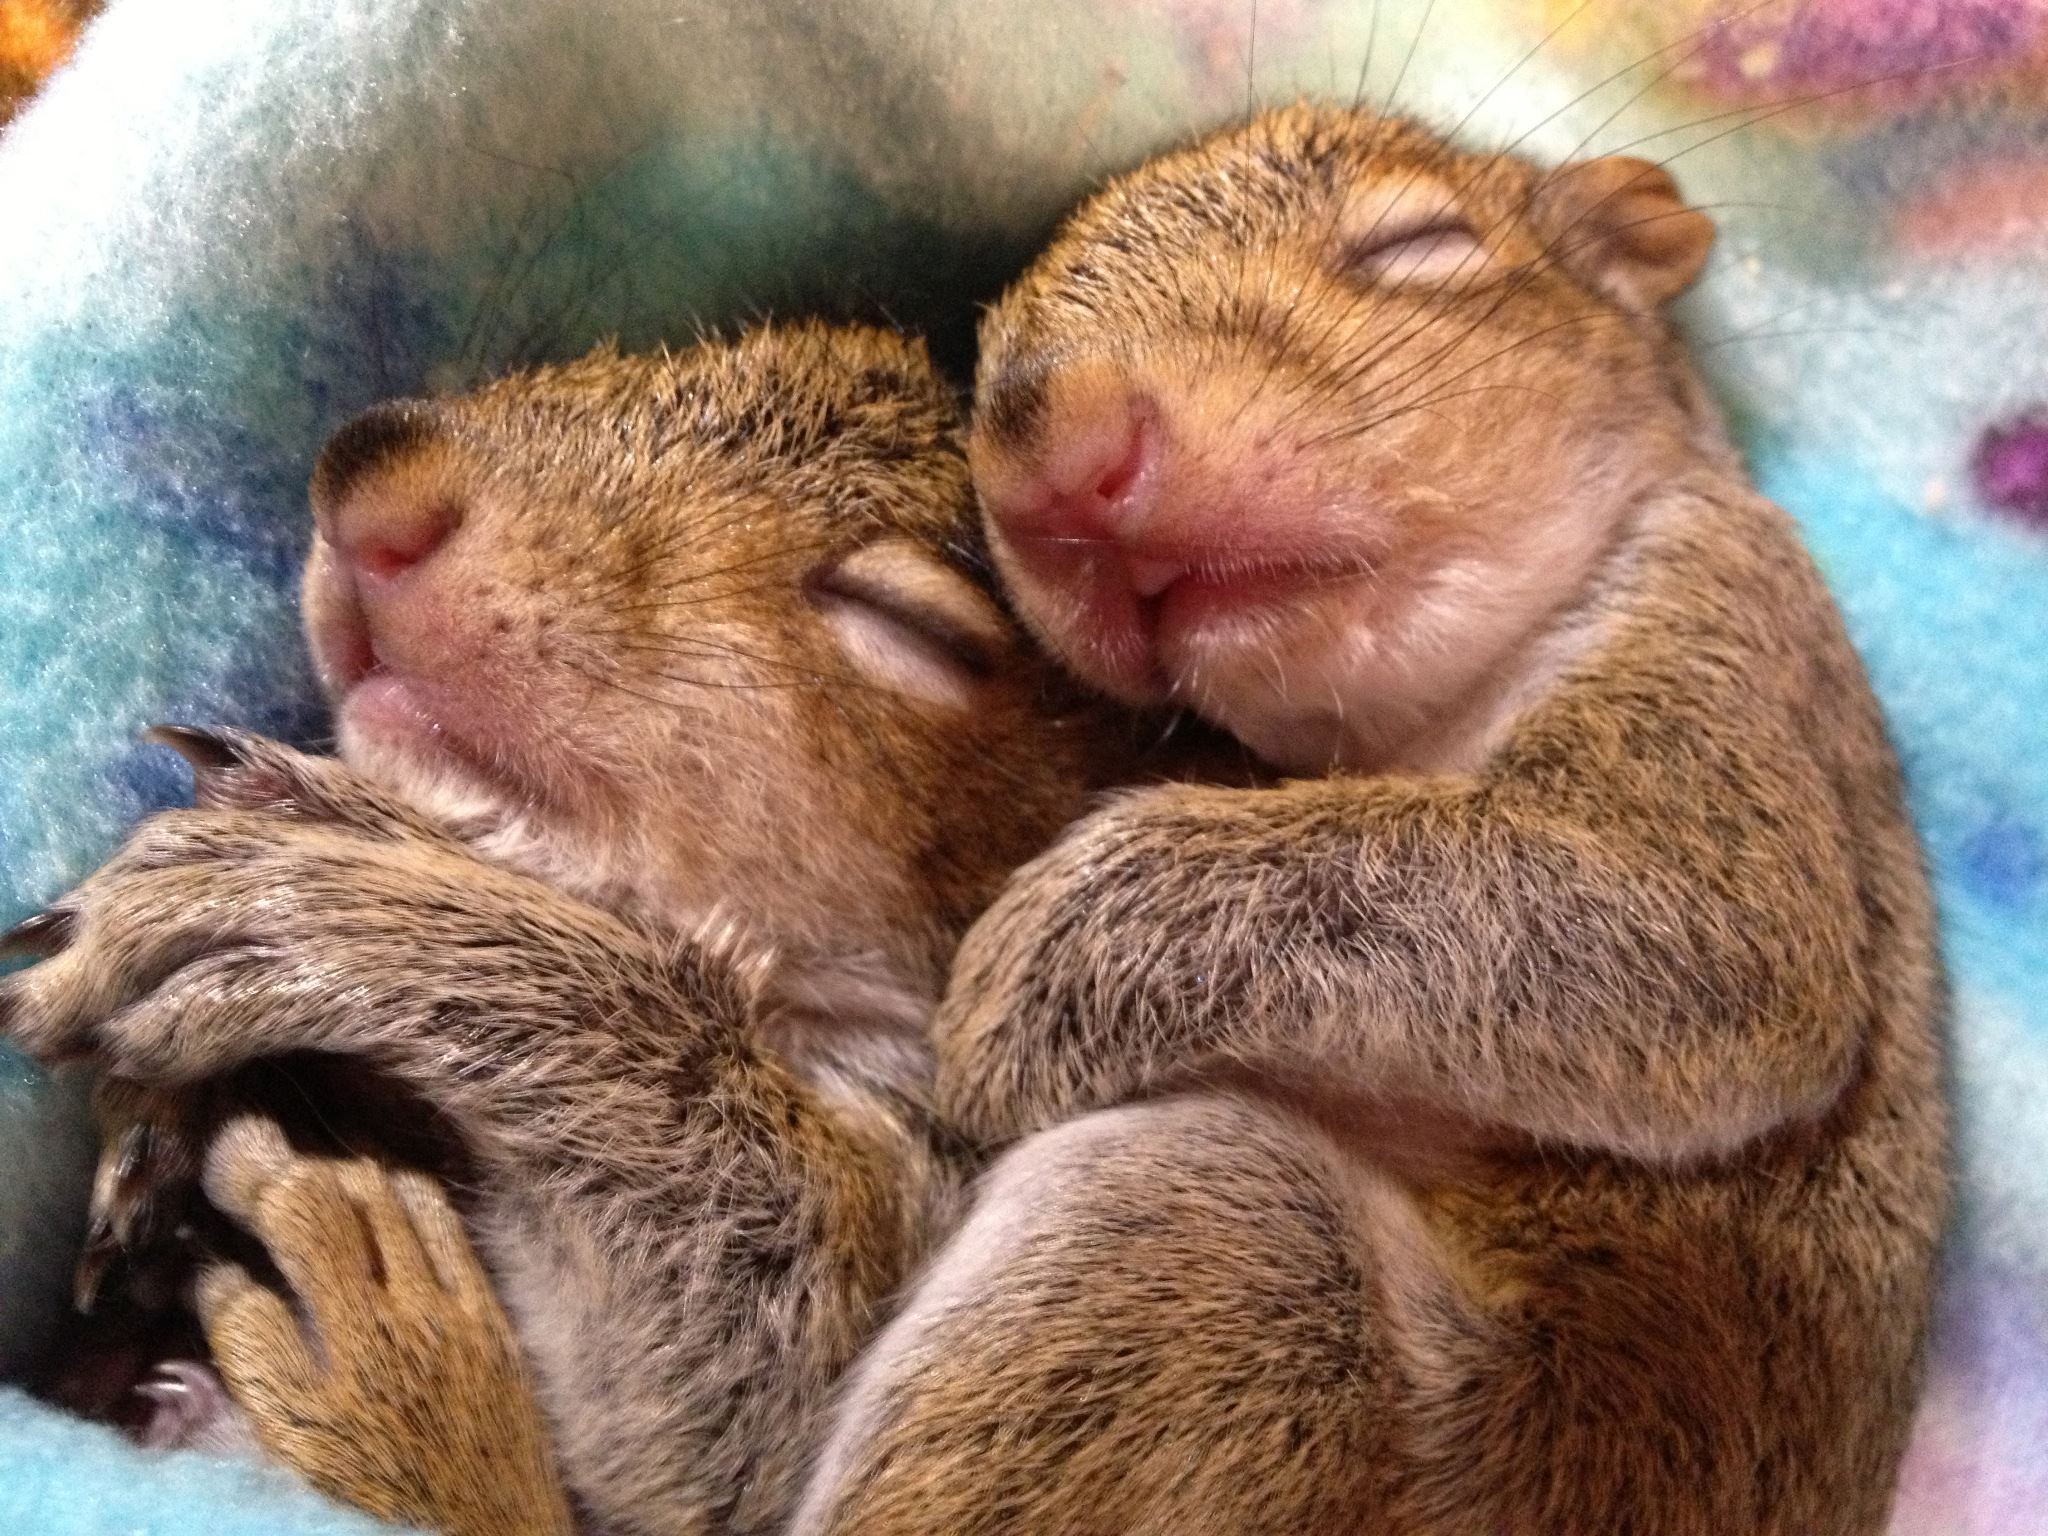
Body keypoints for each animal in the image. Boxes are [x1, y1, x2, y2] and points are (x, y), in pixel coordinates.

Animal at [785, 105, 1952, 1536]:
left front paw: (1021, 992)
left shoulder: (1727, 642)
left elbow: (1685, 931)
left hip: (1219, 1267)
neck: (1394, 731)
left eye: (1419, 244)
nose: (1056, 468)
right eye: (987, 344)